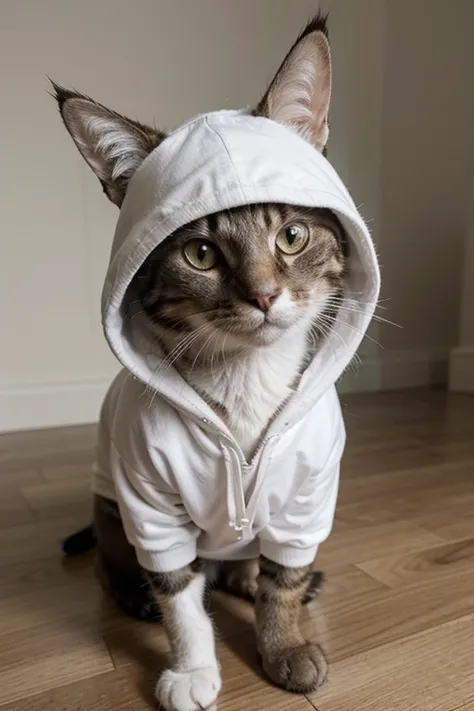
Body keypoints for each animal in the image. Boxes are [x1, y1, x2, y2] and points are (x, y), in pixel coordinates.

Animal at [54, 12, 382, 711]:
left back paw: (249, 576)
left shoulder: (311, 492)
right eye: (200, 254)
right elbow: (178, 593)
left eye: (292, 235)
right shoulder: (148, 500)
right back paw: (134, 592)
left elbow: (285, 575)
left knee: (244, 564)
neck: (244, 377)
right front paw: (192, 668)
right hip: (109, 506)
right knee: (115, 563)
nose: (262, 295)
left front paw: (283, 642)